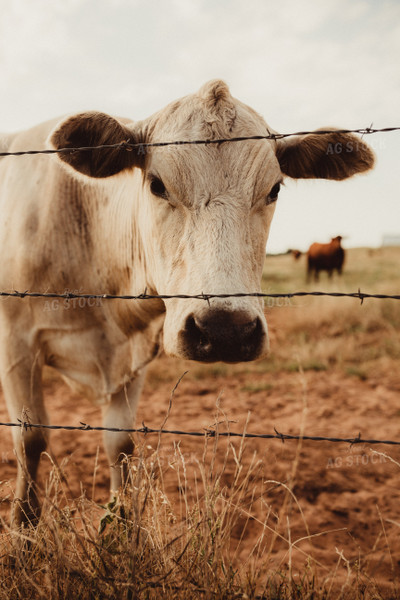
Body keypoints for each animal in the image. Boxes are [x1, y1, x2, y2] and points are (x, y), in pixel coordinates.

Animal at [0, 81, 376, 524]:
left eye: (274, 189)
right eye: (157, 184)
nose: (226, 329)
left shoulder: (135, 353)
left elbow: (120, 444)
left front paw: (122, 521)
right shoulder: (17, 345)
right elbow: (31, 438)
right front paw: (24, 524)